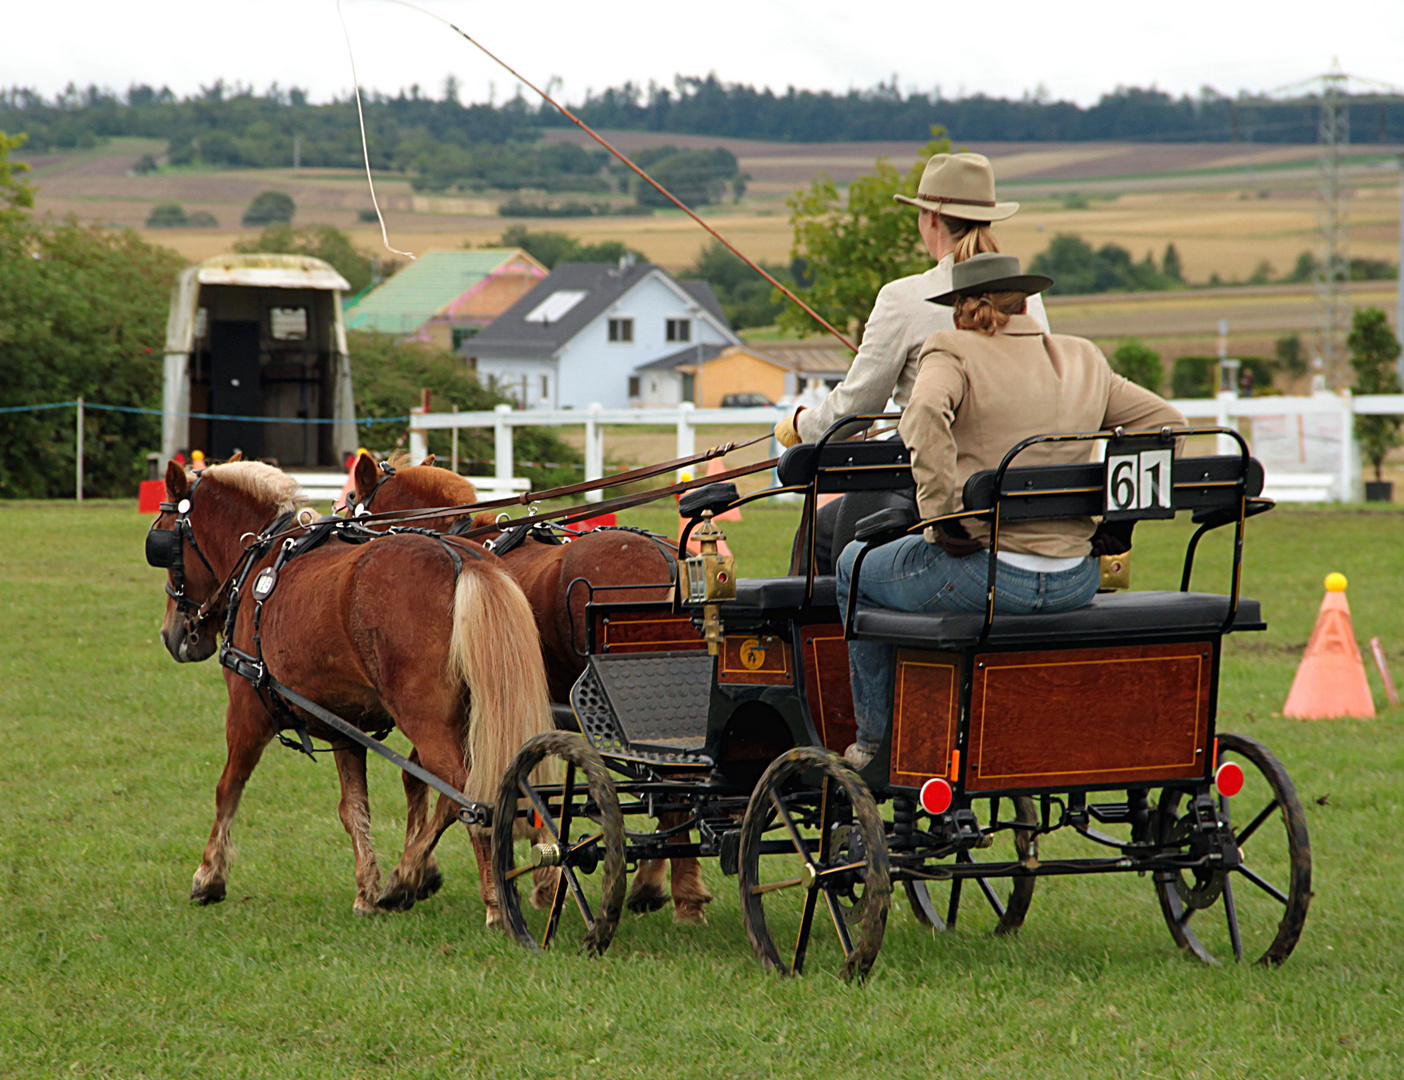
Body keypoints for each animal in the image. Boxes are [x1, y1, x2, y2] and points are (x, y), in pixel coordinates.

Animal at [149, 460, 553, 921]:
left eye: (165, 539)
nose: (173, 635)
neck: (263, 558)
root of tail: (463, 560)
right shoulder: (345, 726)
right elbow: (354, 807)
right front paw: (369, 888)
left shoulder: (248, 713)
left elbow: (227, 789)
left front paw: (209, 876)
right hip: (483, 717)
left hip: (429, 723)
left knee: (467, 795)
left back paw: (491, 902)